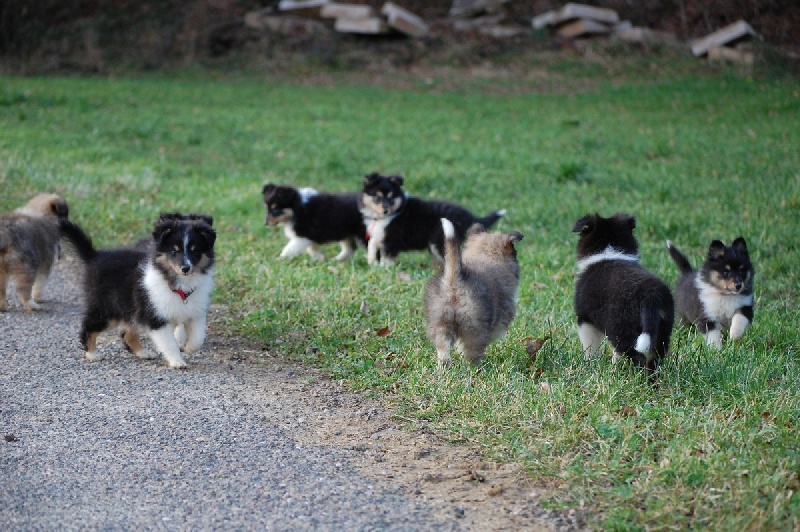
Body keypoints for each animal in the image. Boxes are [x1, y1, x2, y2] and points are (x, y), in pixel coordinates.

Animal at [57, 214, 217, 368]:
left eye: (194, 250)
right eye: (174, 251)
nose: (186, 268)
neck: (179, 284)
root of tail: (94, 256)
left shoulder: (195, 313)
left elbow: (198, 337)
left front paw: (189, 348)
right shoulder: (156, 317)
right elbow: (170, 343)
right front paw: (177, 362)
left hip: (130, 309)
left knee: (127, 334)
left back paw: (143, 353)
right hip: (108, 309)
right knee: (89, 326)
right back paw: (92, 354)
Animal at [358, 174, 504, 268]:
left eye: (391, 197)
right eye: (377, 197)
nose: (385, 210)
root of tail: (470, 217)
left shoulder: (391, 240)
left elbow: (386, 256)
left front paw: (384, 268)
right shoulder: (379, 234)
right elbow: (372, 243)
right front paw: (371, 260)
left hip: (438, 241)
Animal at [568, 213, 676, 378]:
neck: (608, 252)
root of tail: (651, 294)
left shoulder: (585, 319)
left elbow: (590, 345)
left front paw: (590, 363)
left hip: (622, 328)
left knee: (637, 356)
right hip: (662, 328)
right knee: (654, 357)